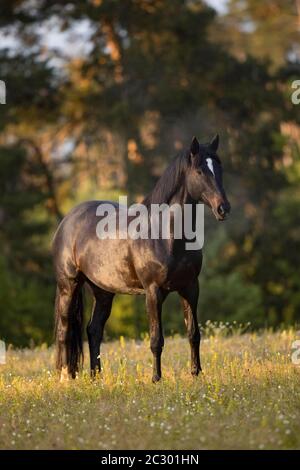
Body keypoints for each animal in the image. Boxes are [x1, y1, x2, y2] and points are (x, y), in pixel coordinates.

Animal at [52, 135, 230, 382]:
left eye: (219, 167)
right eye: (200, 171)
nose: (223, 208)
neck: (166, 235)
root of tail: (68, 219)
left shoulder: (190, 288)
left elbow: (193, 333)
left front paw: (196, 374)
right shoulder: (153, 291)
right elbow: (156, 339)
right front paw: (156, 379)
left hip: (103, 291)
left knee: (93, 330)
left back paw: (96, 378)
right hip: (68, 286)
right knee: (65, 330)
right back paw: (66, 377)